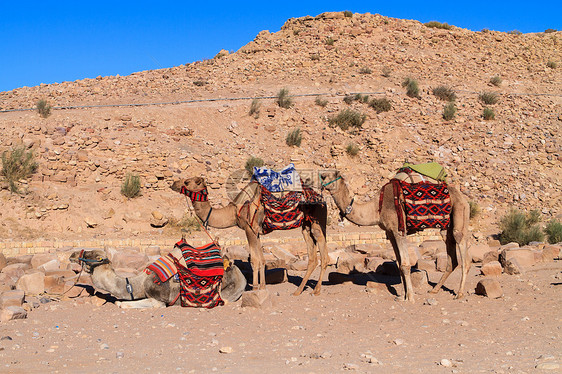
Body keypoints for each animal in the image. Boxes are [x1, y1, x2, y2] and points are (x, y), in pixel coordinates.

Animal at [69, 248, 245, 310]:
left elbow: (123, 303)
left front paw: (120, 303)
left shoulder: (159, 300)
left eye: (90, 254)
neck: (139, 283)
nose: (72, 255)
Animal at [171, 175, 328, 296]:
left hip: (317, 223)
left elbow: (254, 260)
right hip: (306, 226)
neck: (234, 212)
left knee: (323, 254)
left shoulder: (249, 229)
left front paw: (255, 287)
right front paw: (262, 286)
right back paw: (298, 291)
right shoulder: (256, 232)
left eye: (187, 181)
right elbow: (262, 259)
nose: (173, 184)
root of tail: (322, 199)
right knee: (313, 258)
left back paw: (316, 290)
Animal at [320, 169, 468, 300]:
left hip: (459, 211)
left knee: (462, 247)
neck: (377, 208)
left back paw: (459, 293)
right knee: (451, 255)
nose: (321, 180)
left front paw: (410, 297)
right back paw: (434, 290)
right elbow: (399, 264)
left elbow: (405, 264)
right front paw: (402, 296)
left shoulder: (398, 230)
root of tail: (463, 198)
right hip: (446, 227)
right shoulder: (390, 232)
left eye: (326, 176)